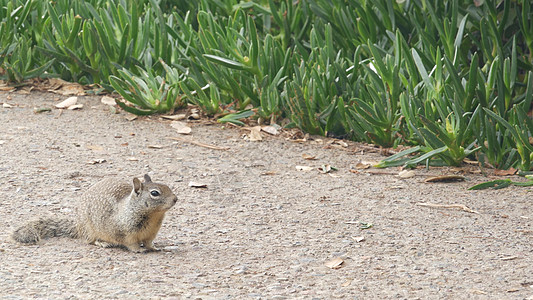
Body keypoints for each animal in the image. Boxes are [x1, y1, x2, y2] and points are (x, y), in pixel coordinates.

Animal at [11, 173, 178, 253]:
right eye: (155, 193)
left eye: (167, 186)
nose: (176, 199)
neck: (153, 216)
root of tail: (78, 226)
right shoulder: (125, 232)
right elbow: (131, 244)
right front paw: (138, 250)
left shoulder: (151, 234)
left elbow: (149, 243)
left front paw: (154, 248)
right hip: (90, 229)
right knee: (89, 241)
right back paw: (103, 243)